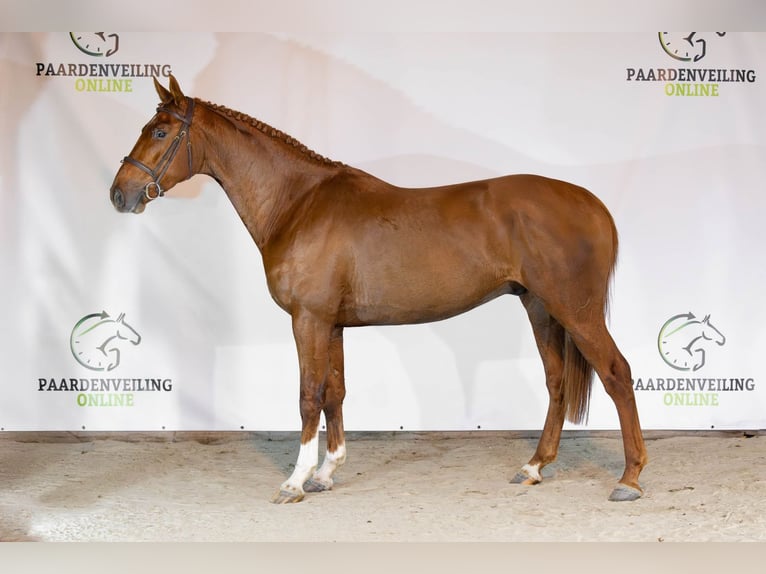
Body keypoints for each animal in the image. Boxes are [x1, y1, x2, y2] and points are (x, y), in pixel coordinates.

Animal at [110, 75, 647, 503]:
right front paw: (327, 473)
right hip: (540, 307)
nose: (120, 194)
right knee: (557, 383)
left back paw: (629, 479)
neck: (299, 203)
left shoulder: (308, 319)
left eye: (160, 131)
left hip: (576, 310)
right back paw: (534, 467)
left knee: (617, 374)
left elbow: (308, 395)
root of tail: (591, 203)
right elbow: (335, 392)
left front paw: (295, 482)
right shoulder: (332, 323)